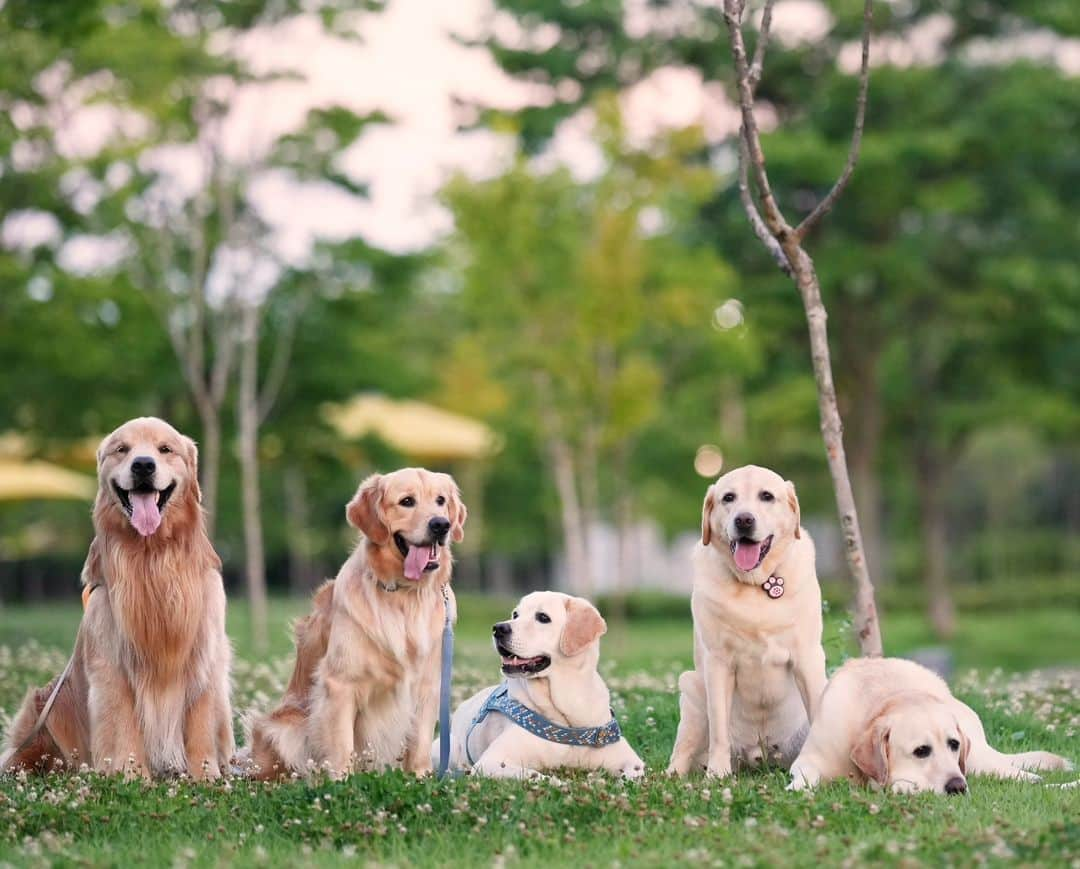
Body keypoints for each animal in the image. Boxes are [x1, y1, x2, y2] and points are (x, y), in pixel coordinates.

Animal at [1, 416, 233, 777]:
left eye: (165, 449)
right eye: (122, 449)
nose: (143, 465)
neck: (152, 557)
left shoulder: (204, 656)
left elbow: (200, 725)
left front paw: (206, 776)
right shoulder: (111, 662)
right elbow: (122, 725)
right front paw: (130, 776)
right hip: (43, 710)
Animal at [248, 468, 468, 781]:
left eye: (441, 501)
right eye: (407, 501)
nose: (441, 525)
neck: (403, 595)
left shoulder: (428, 684)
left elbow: (421, 743)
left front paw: (421, 777)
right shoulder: (340, 684)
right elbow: (341, 745)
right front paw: (340, 781)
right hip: (283, 728)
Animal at [438, 591, 639, 781]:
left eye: (543, 617)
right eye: (516, 614)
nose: (498, 628)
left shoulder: (632, 760)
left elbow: (634, 776)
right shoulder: (490, 762)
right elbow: (535, 776)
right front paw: (557, 782)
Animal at [665, 464, 825, 777]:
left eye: (767, 496)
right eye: (729, 497)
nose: (744, 520)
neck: (756, 585)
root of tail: (759, 755)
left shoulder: (808, 657)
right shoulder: (718, 662)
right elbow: (719, 730)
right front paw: (717, 773)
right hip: (692, 692)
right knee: (682, 752)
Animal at [786, 656, 1071, 794]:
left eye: (954, 744)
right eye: (921, 751)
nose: (957, 787)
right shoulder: (809, 759)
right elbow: (805, 776)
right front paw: (797, 788)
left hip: (978, 759)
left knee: (1012, 772)